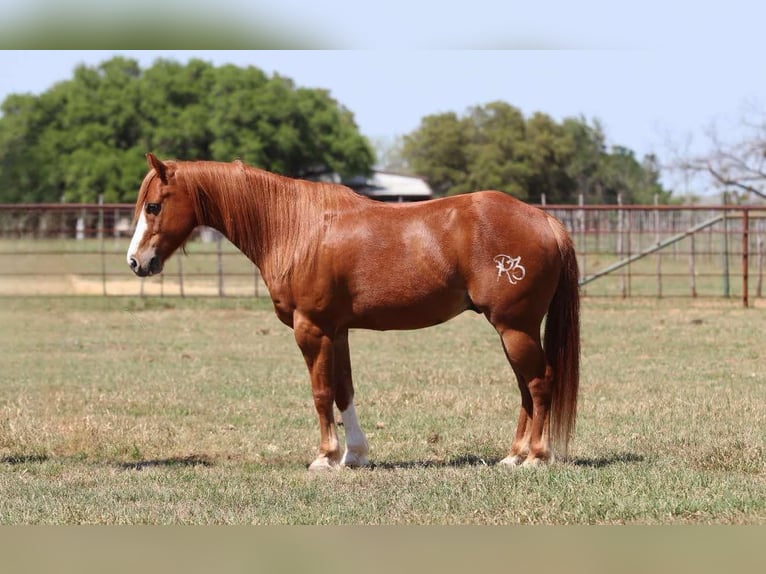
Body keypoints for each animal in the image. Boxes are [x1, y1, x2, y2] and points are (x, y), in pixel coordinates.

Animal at [127, 153, 580, 470]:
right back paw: (513, 455)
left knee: (539, 383)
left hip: (515, 328)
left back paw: (536, 456)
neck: (296, 229)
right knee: (525, 389)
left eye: (153, 206)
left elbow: (321, 392)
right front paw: (355, 455)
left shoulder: (311, 329)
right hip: (512, 331)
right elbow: (344, 390)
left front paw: (325, 457)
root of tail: (545, 220)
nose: (136, 262)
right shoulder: (338, 331)